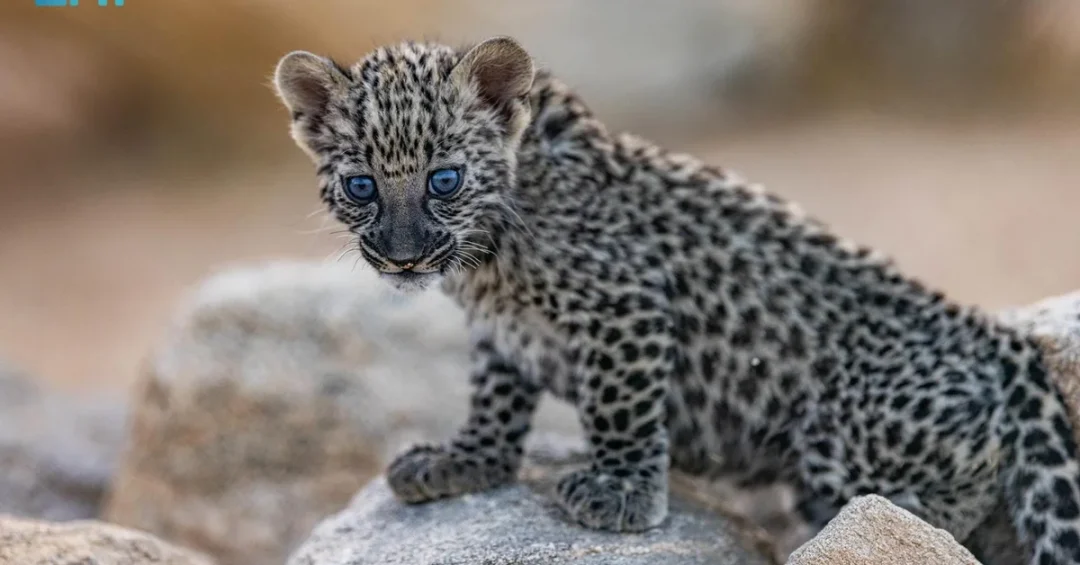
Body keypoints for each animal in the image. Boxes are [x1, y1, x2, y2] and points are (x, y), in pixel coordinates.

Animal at [272, 36, 1080, 564]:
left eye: (444, 179)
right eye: (361, 186)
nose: (403, 254)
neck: (490, 254)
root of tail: (996, 339)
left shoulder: (624, 306)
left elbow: (619, 406)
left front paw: (620, 490)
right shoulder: (499, 332)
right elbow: (495, 399)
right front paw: (466, 461)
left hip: (845, 431)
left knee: (957, 491)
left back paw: (887, 514)